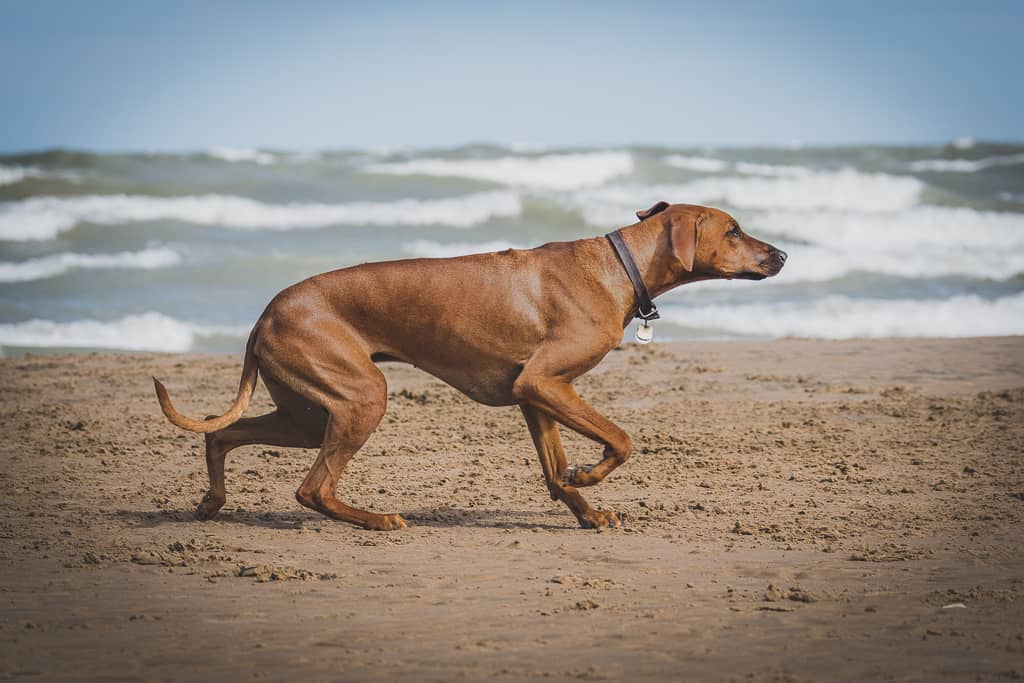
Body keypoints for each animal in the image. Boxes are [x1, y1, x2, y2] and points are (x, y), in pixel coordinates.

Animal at [155, 200, 786, 532]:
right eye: (733, 230)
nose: (782, 254)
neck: (617, 266)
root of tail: (265, 313)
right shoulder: (545, 383)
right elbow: (622, 440)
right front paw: (590, 476)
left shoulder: (537, 396)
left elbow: (554, 470)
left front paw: (583, 508)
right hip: (361, 397)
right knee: (312, 488)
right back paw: (374, 519)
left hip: (310, 413)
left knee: (224, 434)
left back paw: (212, 501)